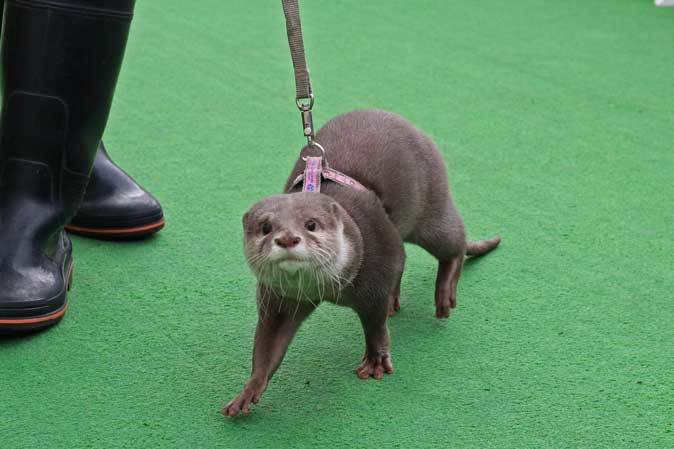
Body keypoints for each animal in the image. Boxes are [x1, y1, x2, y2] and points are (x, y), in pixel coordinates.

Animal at [222, 109, 498, 416]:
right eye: (266, 227)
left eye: (311, 224)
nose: (287, 238)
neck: (328, 287)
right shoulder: (278, 298)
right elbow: (268, 346)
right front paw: (249, 390)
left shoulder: (375, 270)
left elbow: (374, 323)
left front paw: (376, 360)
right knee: (404, 257)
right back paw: (394, 301)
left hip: (431, 210)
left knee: (454, 242)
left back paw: (444, 293)